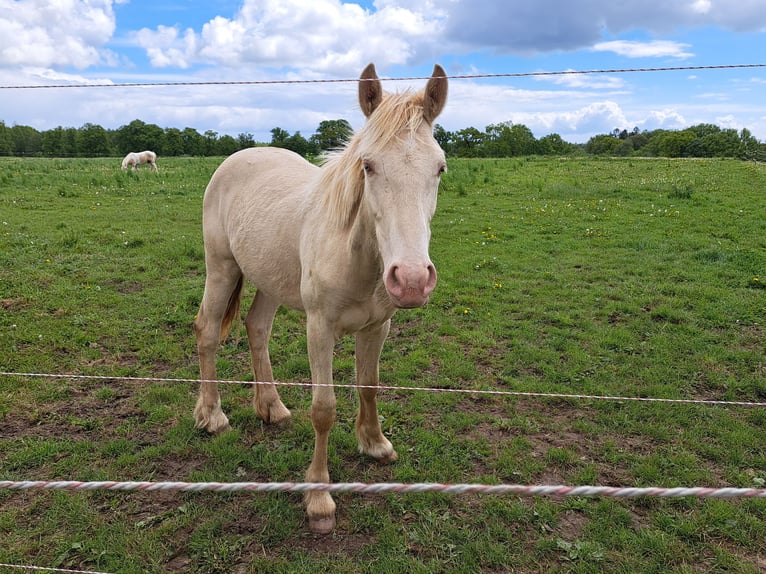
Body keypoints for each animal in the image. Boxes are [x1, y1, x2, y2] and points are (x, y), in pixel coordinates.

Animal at [193, 63, 448, 533]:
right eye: (368, 165)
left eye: (439, 168)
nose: (411, 279)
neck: (356, 256)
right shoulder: (320, 327)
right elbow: (324, 408)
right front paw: (319, 499)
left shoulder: (378, 325)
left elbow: (369, 384)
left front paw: (375, 444)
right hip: (221, 267)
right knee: (207, 331)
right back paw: (212, 417)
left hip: (270, 279)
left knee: (257, 327)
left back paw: (271, 408)